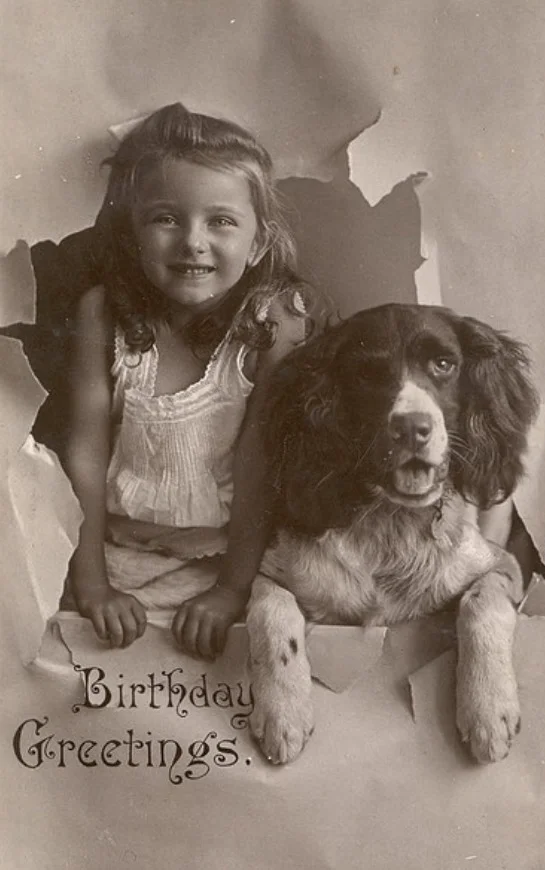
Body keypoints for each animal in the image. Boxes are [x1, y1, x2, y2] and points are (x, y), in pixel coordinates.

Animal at [246, 303, 539, 765]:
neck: (391, 523)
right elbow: (271, 611)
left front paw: (488, 711)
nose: (412, 428)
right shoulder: (274, 571)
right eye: (368, 374)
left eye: (444, 364)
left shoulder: (505, 563)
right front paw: (282, 713)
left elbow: (480, 604)